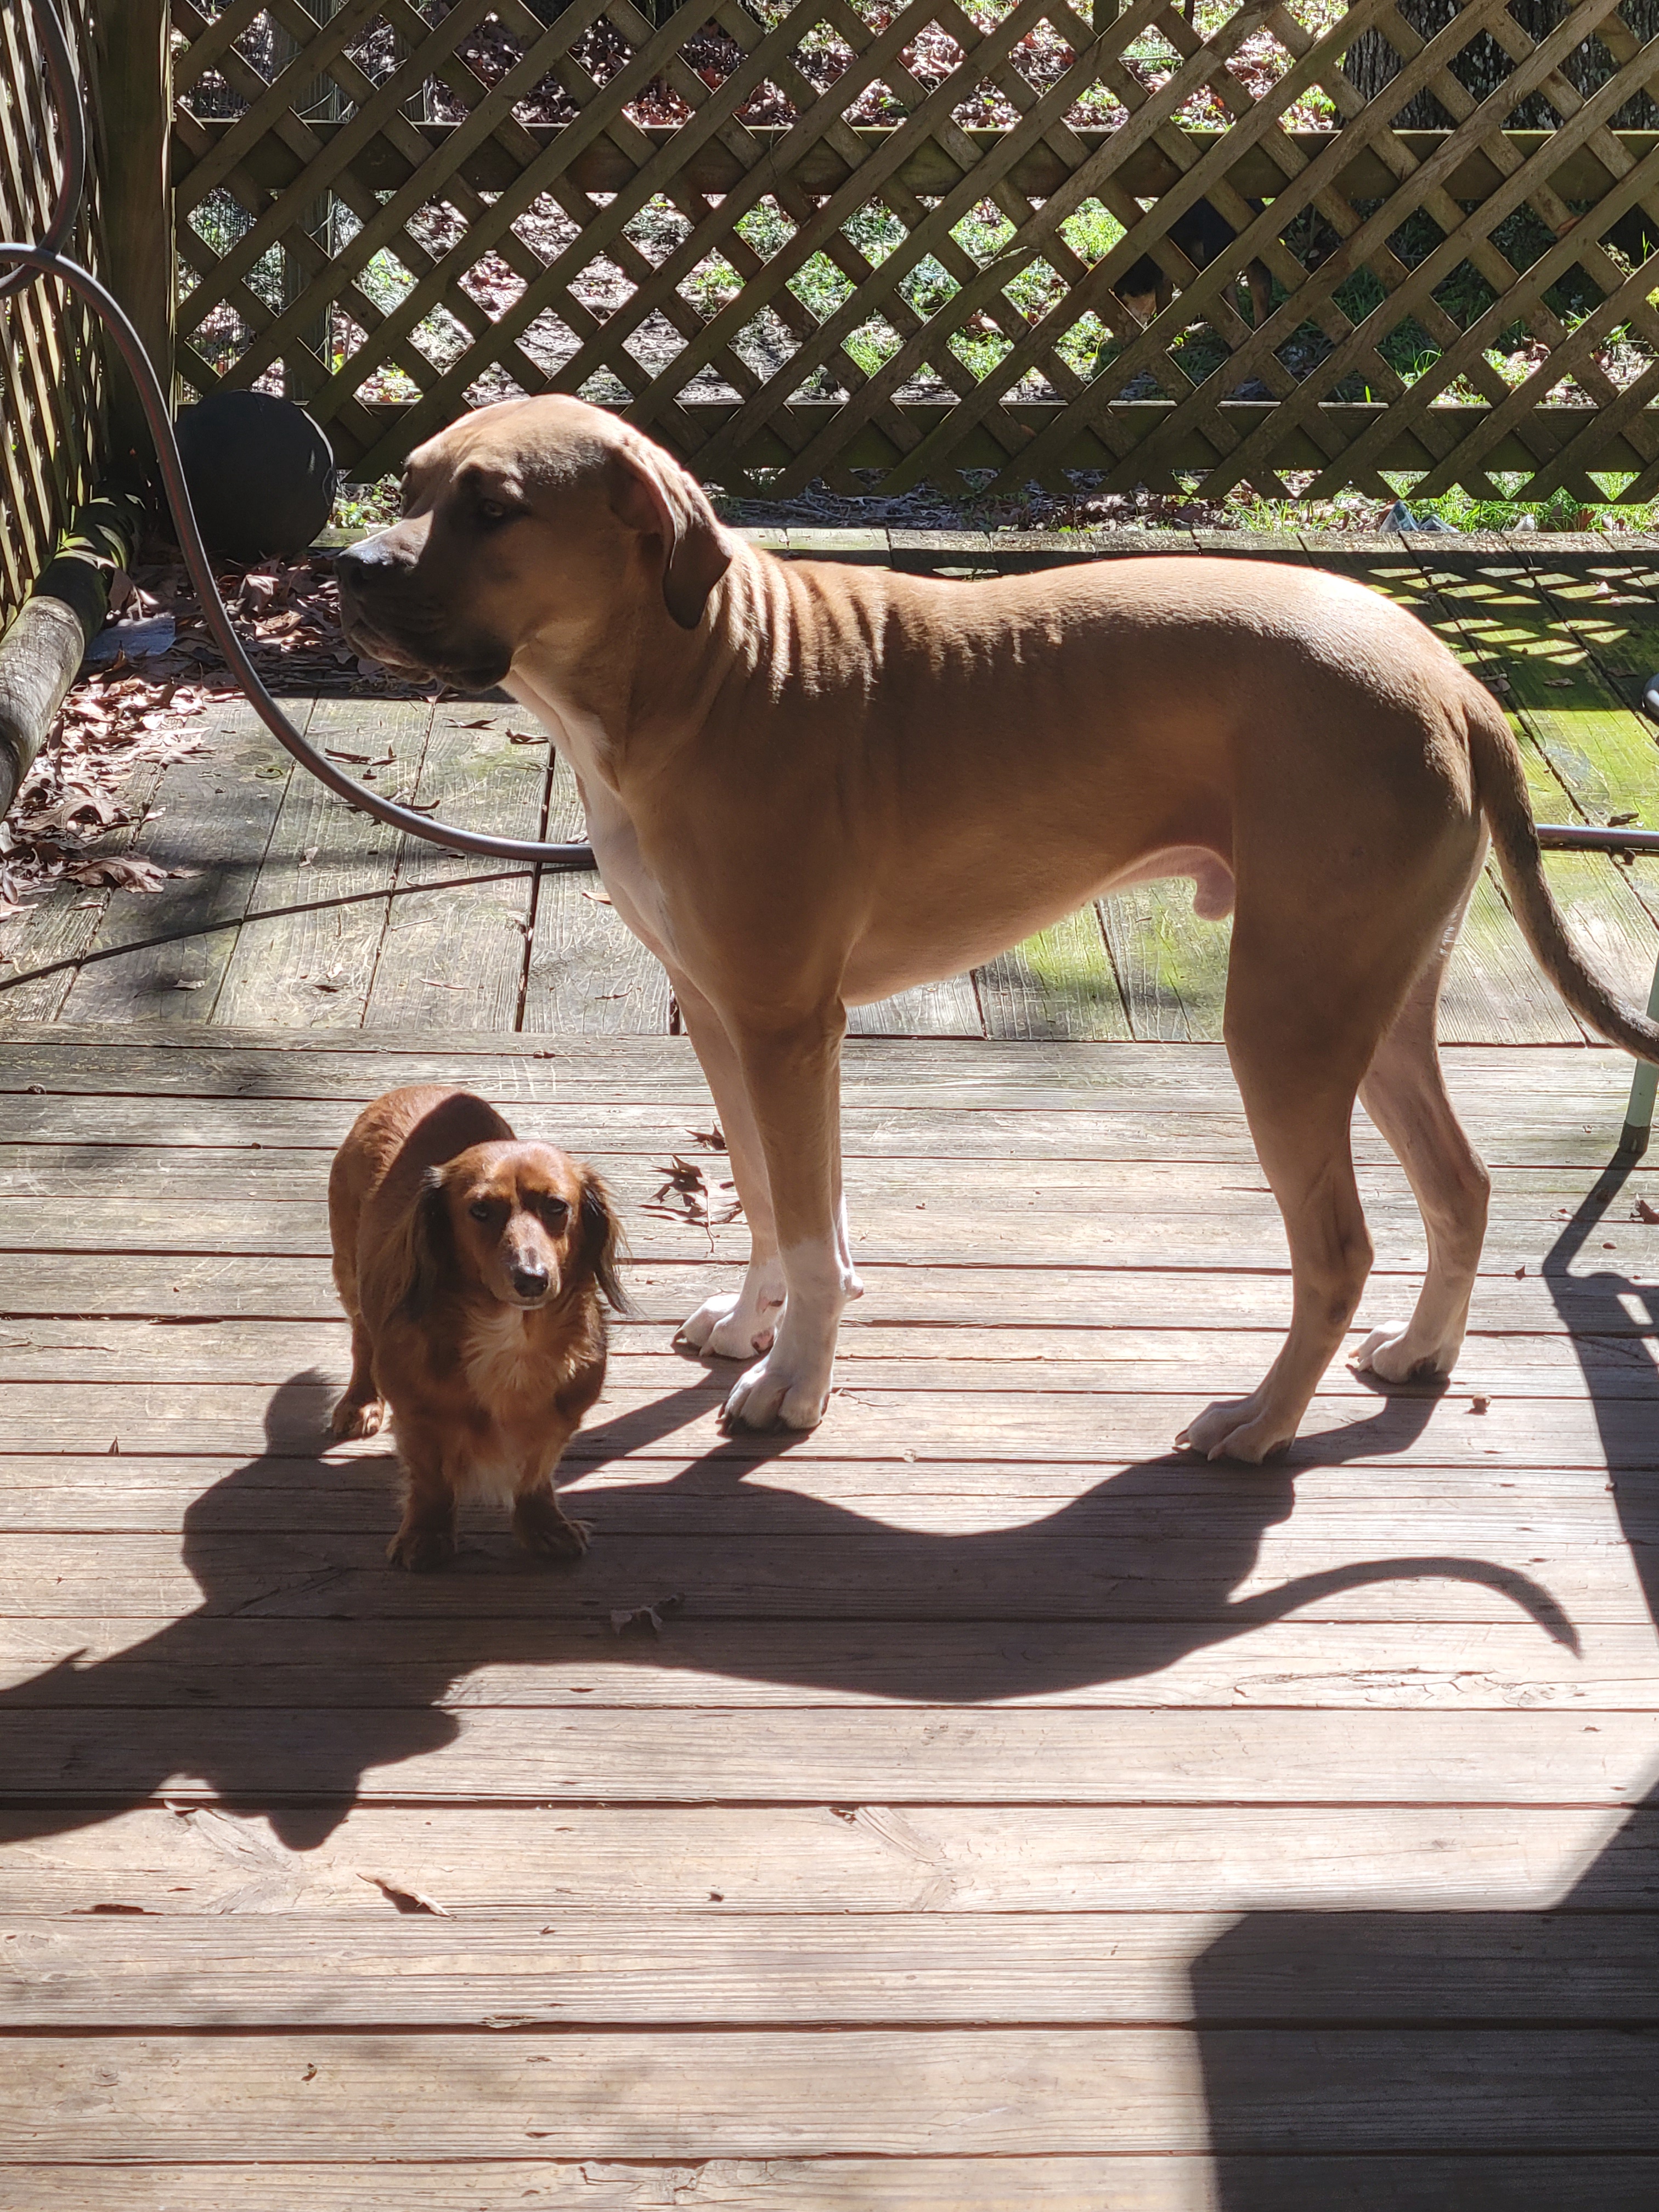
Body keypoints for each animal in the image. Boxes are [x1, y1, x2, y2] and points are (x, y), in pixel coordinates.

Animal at [338, 393, 1659, 1469]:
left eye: (493, 508)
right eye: (407, 483)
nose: (348, 566)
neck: (704, 671)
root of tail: (1455, 679)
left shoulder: (783, 1031)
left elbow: (808, 1229)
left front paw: (797, 1379)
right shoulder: (722, 1019)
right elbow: (766, 1194)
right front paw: (756, 1323)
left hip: (1288, 1023)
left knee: (1336, 1248)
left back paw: (1261, 1422)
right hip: (1375, 1006)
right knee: (1461, 1186)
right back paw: (1422, 1350)